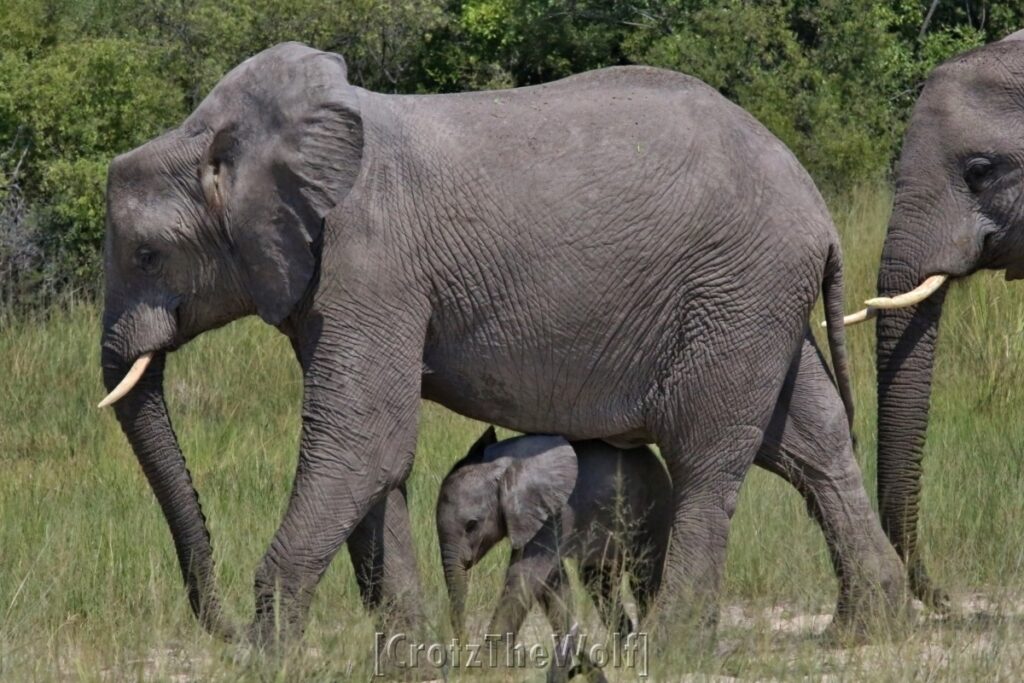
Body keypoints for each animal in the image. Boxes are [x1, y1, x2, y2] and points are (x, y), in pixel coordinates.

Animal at [434, 430, 667, 651]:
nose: (464, 644)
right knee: (598, 580)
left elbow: (527, 573)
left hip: (654, 508)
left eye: (472, 525)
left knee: (644, 578)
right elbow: (552, 579)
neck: (502, 467)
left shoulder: (554, 511)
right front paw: (573, 653)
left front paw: (487, 659)